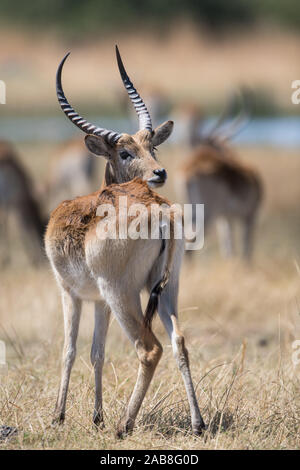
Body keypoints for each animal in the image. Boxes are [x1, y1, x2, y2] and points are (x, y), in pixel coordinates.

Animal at [45, 46, 206, 436]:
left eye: (152, 148)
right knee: (179, 342)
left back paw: (124, 425)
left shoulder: (70, 293)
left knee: (149, 349)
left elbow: (69, 350)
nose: (159, 172)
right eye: (126, 151)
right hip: (166, 288)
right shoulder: (99, 302)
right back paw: (198, 424)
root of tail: (160, 209)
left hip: (122, 293)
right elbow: (96, 353)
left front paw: (59, 416)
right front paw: (96, 416)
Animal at [178, 90, 262, 258]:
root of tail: (188, 172)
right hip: (206, 214)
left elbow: (229, 249)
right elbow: (246, 252)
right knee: (190, 245)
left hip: (191, 210)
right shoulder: (249, 216)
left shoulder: (225, 219)